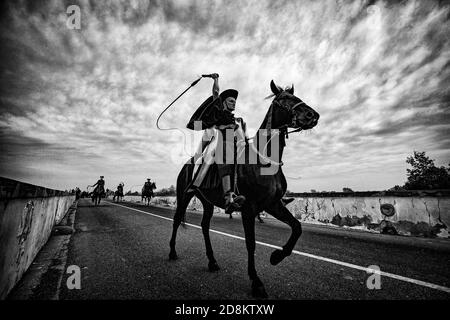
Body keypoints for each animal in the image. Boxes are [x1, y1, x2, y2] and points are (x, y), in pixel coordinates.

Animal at [169, 80, 320, 298]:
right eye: (283, 99)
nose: (312, 115)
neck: (264, 161)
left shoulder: (273, 205)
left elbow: (297, 227)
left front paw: (277, 256)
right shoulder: (249, 209)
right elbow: (251, 243)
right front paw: (256, 281)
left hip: (207, 202)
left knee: (205, 226)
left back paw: (212, 261)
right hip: (184, 195)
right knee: (176, 219)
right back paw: (172, 252)